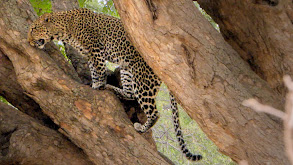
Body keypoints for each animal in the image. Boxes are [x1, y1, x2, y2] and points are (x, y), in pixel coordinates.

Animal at [27, 8, 201, 161]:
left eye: (34, 29)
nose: (28, 42)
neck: (64, 28)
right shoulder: (90, 54)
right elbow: (94, 70)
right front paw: (97, 85)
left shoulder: (95, 50)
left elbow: (99, 70)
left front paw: (97, 85)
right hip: (127, 70)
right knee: (130, 93)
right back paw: (111, 88)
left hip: (143, 80)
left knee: (154, 112)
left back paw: (141, 127)